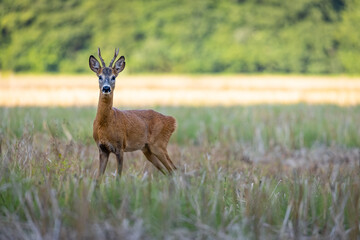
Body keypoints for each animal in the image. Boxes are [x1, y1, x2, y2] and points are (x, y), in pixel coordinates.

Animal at [88, 47, 176, 177]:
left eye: (114, 77)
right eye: (99, 76)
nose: (106, 88)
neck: (104, 124)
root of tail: (172, 121)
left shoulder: (120, 146)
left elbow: (118, 176)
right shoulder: (102, 149)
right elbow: (99, 177)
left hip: (159, 144)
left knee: (173, 169)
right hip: (147, 149)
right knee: (169, 171)